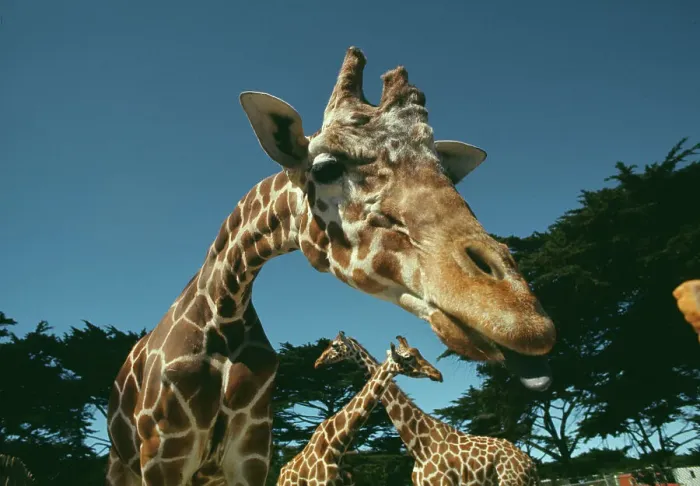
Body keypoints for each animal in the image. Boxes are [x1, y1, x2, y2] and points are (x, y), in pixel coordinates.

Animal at [315, 332, 539, 486]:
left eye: (334, 345)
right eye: (409, 356)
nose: (317, 361)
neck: (419, 444)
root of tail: (531, 464)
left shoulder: (443, 483)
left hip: (512, 482)